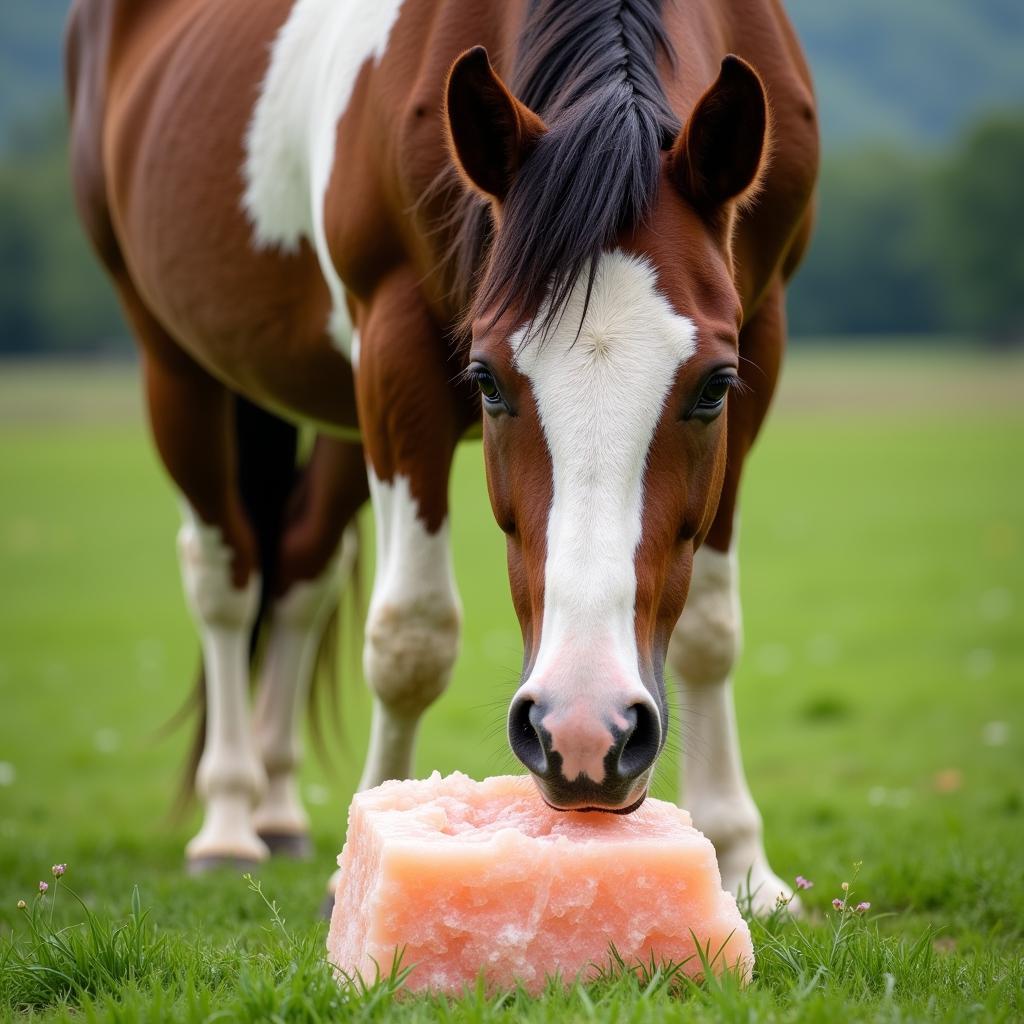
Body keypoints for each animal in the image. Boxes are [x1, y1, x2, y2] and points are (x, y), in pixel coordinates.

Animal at [66, 0, 815, 909]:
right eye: (486, 380)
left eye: (713, 387)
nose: (584, 731)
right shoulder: (396, 348)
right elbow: (410, 637)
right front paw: (362, 868)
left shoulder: (762, 330)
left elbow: (710, 625)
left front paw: (741, 863)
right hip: (178, 367)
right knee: (227, 578)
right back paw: (232, 820)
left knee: (300, 569)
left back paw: (277, 810)